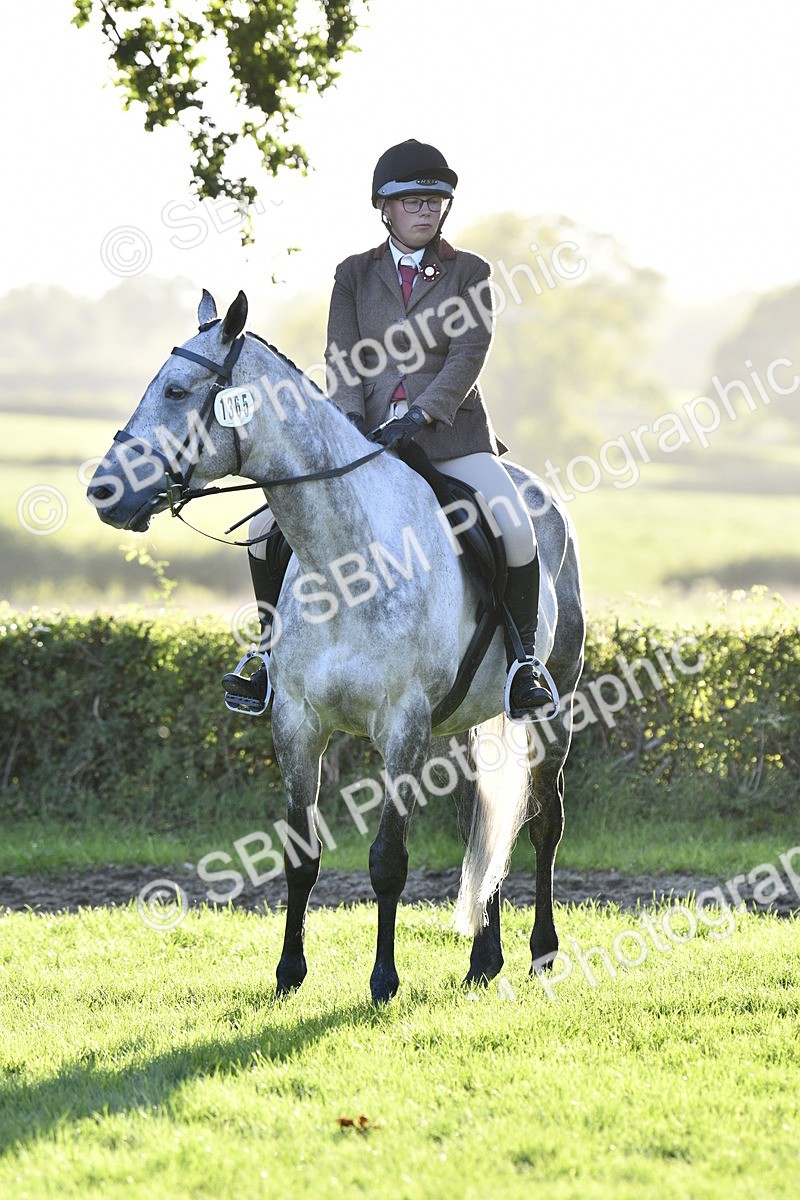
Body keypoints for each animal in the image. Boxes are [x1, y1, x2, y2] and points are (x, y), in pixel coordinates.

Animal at [87, 290, 585, 1003]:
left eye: (177, 390)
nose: (102, 491)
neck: (347, 561)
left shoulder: (402, 727)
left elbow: (388, 861)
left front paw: (383, 980)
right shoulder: (298, 723)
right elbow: (301, 855)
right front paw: (288, 973)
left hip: (556, 704)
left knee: (544, 820)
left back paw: (542, 952)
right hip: (464, 720)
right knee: (482, 821)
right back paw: (483, 960)